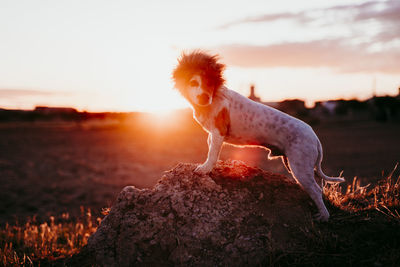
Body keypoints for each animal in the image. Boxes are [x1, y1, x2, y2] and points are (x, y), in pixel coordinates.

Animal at [171, 50, 344, 222]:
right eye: (193, 83)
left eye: (210, 82)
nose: (204, 97)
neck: (213, 99)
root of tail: (314, 136)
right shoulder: (213, 135)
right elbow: (211, 149)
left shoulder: (218, 132)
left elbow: (212, 153)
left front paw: (204, 168)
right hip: (299, 165)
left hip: (300, 166)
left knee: (316, 190)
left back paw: (323, 216)